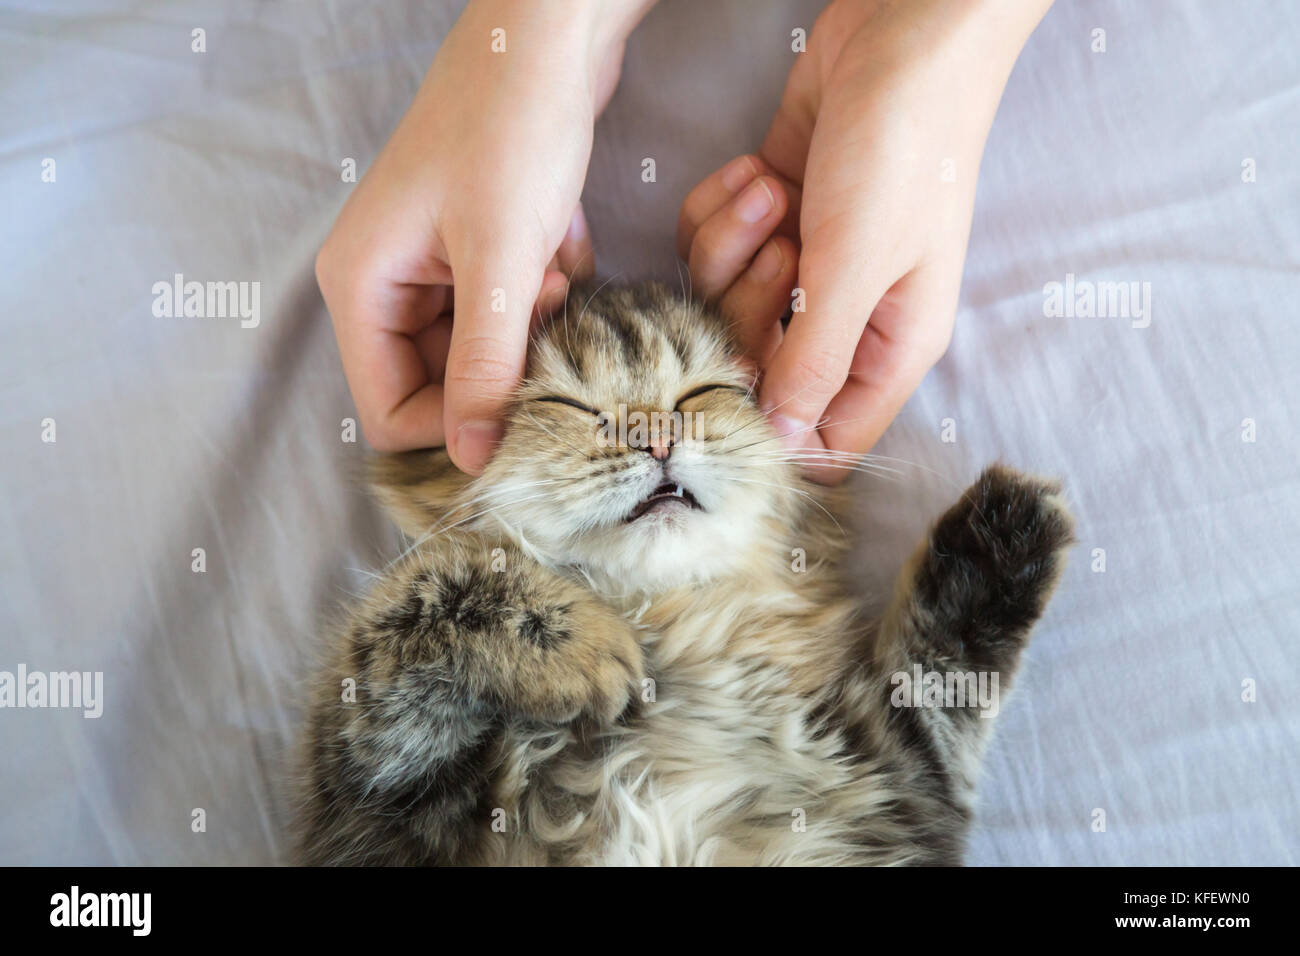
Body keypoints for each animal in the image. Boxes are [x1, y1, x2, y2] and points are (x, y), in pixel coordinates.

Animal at [297, 282, 1076, 868]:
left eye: (703, 393)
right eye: (566, 406)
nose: (657, 438)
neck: (677, 630)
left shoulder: (895, 782)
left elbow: (944, 671)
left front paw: (1005, 532)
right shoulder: (373, 802)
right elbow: (427, 590)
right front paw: (587, 649)